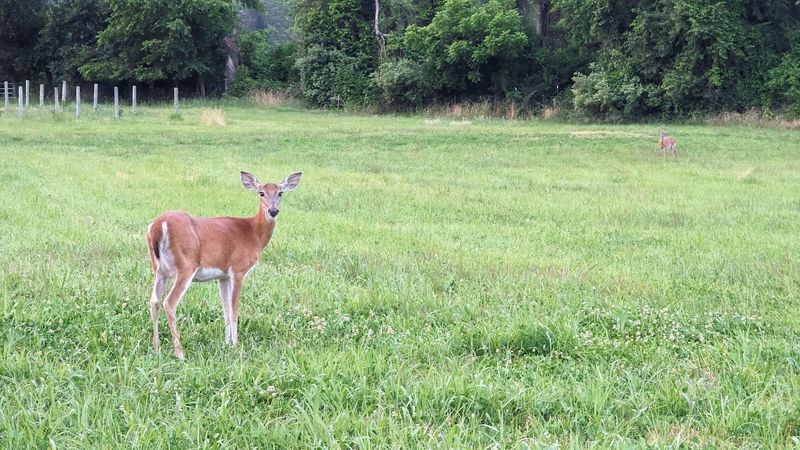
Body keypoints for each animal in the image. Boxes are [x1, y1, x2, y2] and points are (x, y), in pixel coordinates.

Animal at [146, 171, 302, 360]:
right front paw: (236, 345)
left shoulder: (223, 276)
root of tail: (158, 226)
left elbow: (225, 309)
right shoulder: (238, 269)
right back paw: (180, 353)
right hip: (186, 265)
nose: (273, 211)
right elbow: (234, 308)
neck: (254, 234)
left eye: (280, 193)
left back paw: (156, 348)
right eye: (261, 193)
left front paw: (226, 343)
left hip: (159, 269)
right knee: (169, 303)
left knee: (154, 300)